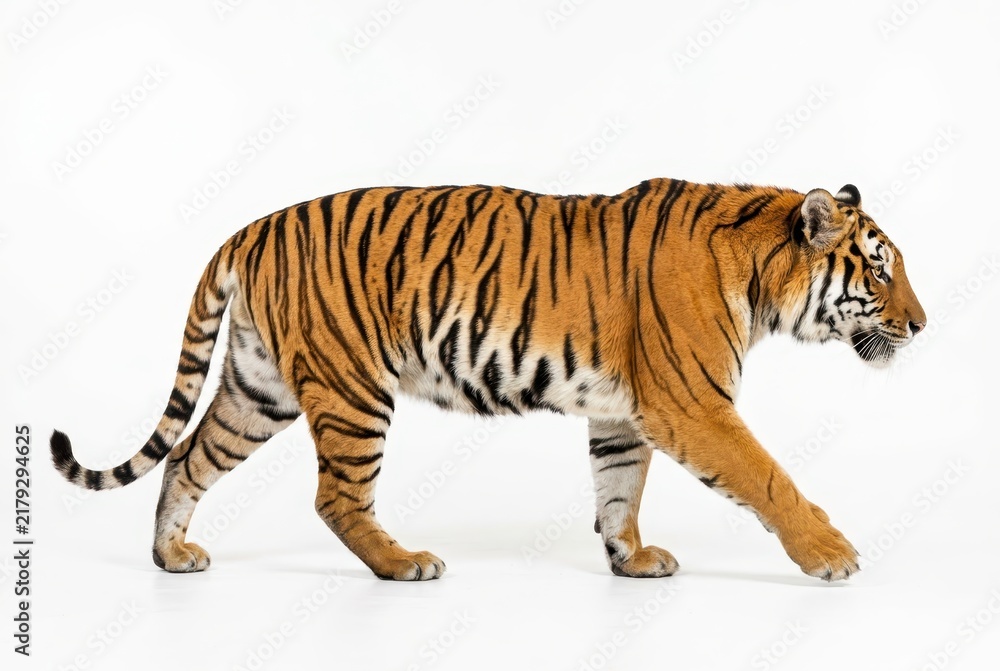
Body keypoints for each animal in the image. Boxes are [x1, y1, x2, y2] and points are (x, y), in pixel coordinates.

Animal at [50, 178, 925, 582]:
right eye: (881, 271)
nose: (922, 325)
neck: (762, 275)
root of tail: (252, 226)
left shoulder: (624, 413)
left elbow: (619, 490)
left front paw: (630, 559)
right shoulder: (693, 405)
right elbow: (769, 477)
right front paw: (832, 553)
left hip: (256, 388)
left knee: (186, 456)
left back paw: (171, 554)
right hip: (352, 389)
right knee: (334, 496)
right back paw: (403, 563)